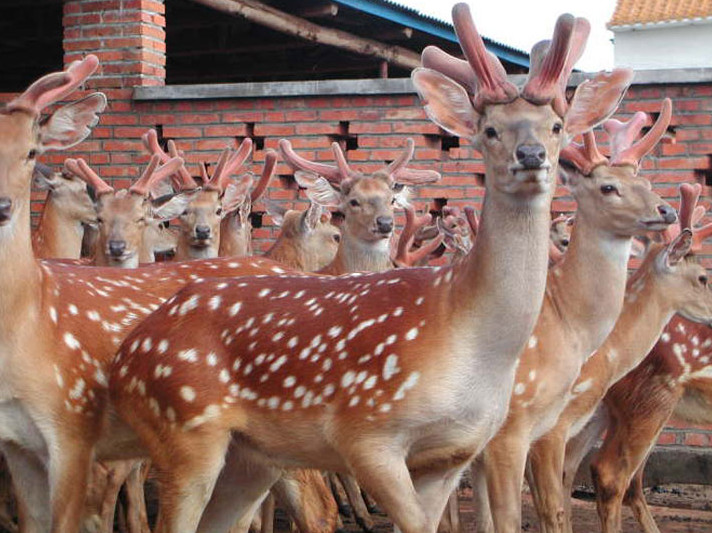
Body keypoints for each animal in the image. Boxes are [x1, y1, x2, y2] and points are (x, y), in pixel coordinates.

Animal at [104, 5, 628, 532]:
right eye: (490, 129)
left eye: (557, 126)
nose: (532, 156)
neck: (464, 334)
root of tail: (126, 357)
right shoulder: (367, 433)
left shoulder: (453, 454)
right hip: (186, 430)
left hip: (251, 455)